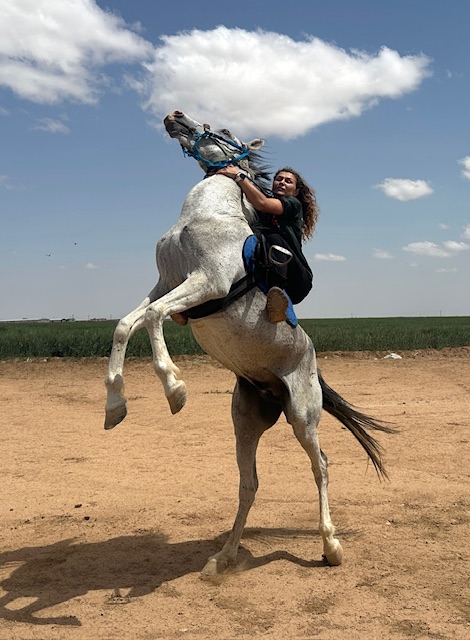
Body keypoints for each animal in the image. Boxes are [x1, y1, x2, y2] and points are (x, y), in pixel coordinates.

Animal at [104, 110, 394, 575]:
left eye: (222, 130)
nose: (174, 116)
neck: (206, 215)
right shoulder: (165, 283)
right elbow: (125, 324)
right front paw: (114, 407)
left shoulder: (206, 282)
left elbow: (150, 318)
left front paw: (175, 389)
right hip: (246, 421)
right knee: (249, 483)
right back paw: (223, 558)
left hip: (302, 417)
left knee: (321, 466)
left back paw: (331, 547)